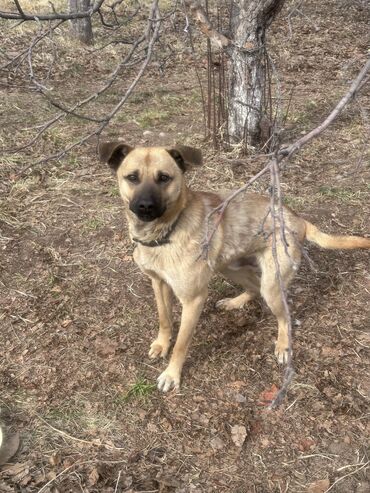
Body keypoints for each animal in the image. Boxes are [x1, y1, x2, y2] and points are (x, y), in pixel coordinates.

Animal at [99, 143, 370, 392]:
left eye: (164, 178)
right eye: (132, 177)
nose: (145, 206)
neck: (165, 233)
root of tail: (298, 219)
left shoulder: (193, 299)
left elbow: (182, 344)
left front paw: (172, 374)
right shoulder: (159, 283)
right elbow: (164, 319)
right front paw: (161, 344)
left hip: (272, 285)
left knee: (284, 314)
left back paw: (283, 345)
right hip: (229, 267)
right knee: (253, 287)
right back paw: (234, 302)